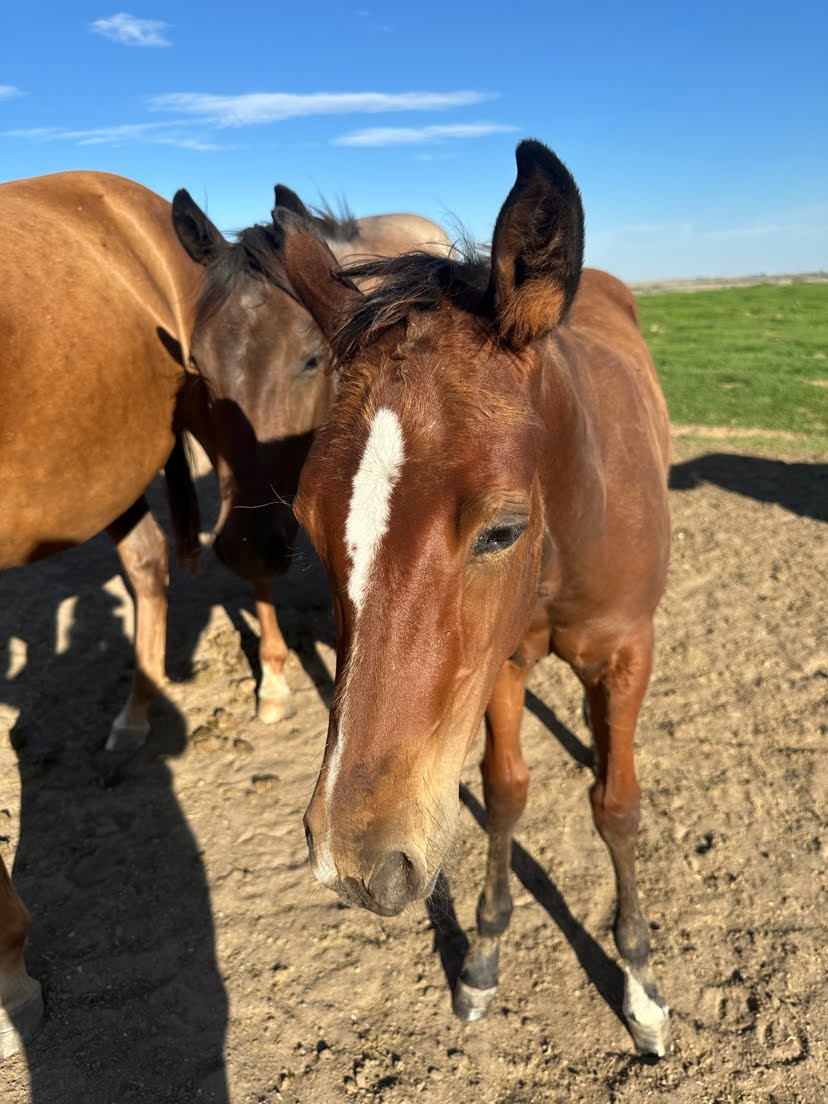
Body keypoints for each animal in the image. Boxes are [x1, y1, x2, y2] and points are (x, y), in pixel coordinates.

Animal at [267, 140, 673, 1056]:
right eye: (308, 522)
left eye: (501, 529)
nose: (355, 862)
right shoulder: (499, 664)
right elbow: (505, 793)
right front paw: (484, 953)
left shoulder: (628, 652)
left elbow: (617, 805)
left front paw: (639, 982)